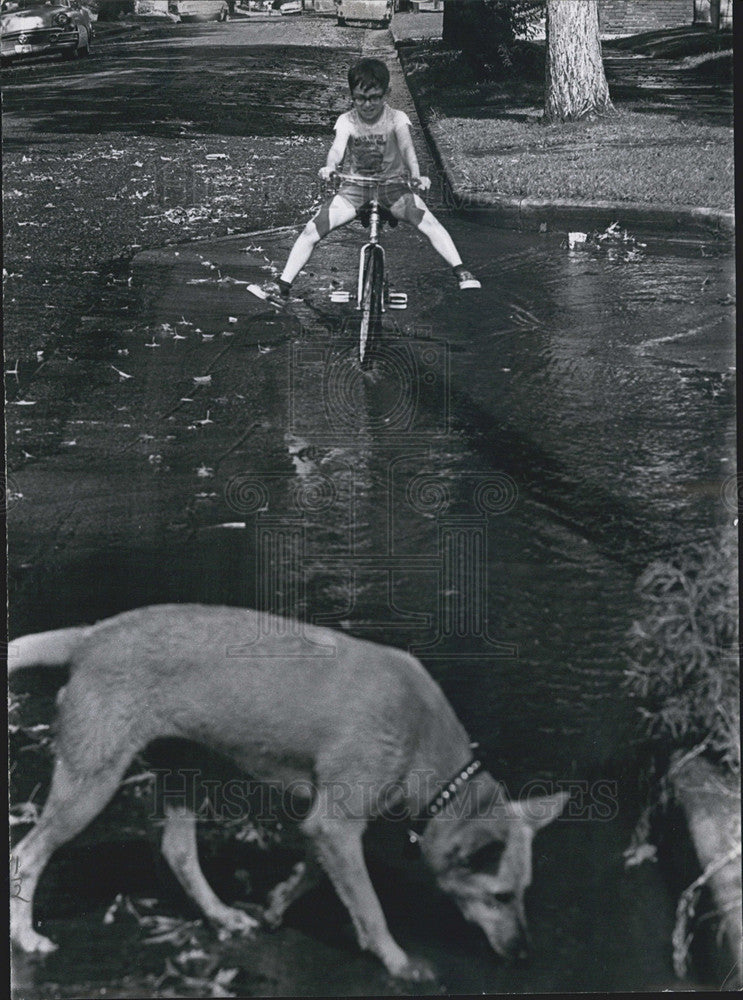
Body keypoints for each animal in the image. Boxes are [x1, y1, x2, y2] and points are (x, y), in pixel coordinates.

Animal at [8, 604, 568, 980]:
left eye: (523, 892)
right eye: (500, 895)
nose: (524, 954)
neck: (422, 736)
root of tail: (92, 635)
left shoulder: (326, 826)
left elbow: (315, 874)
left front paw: (278, 905)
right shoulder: (336, 824)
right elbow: (370, 905)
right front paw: (397, 960)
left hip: (187, 773)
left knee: (179, 852)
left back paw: (223, 915)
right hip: (90, 785)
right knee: (26, 855)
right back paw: (26, 937)